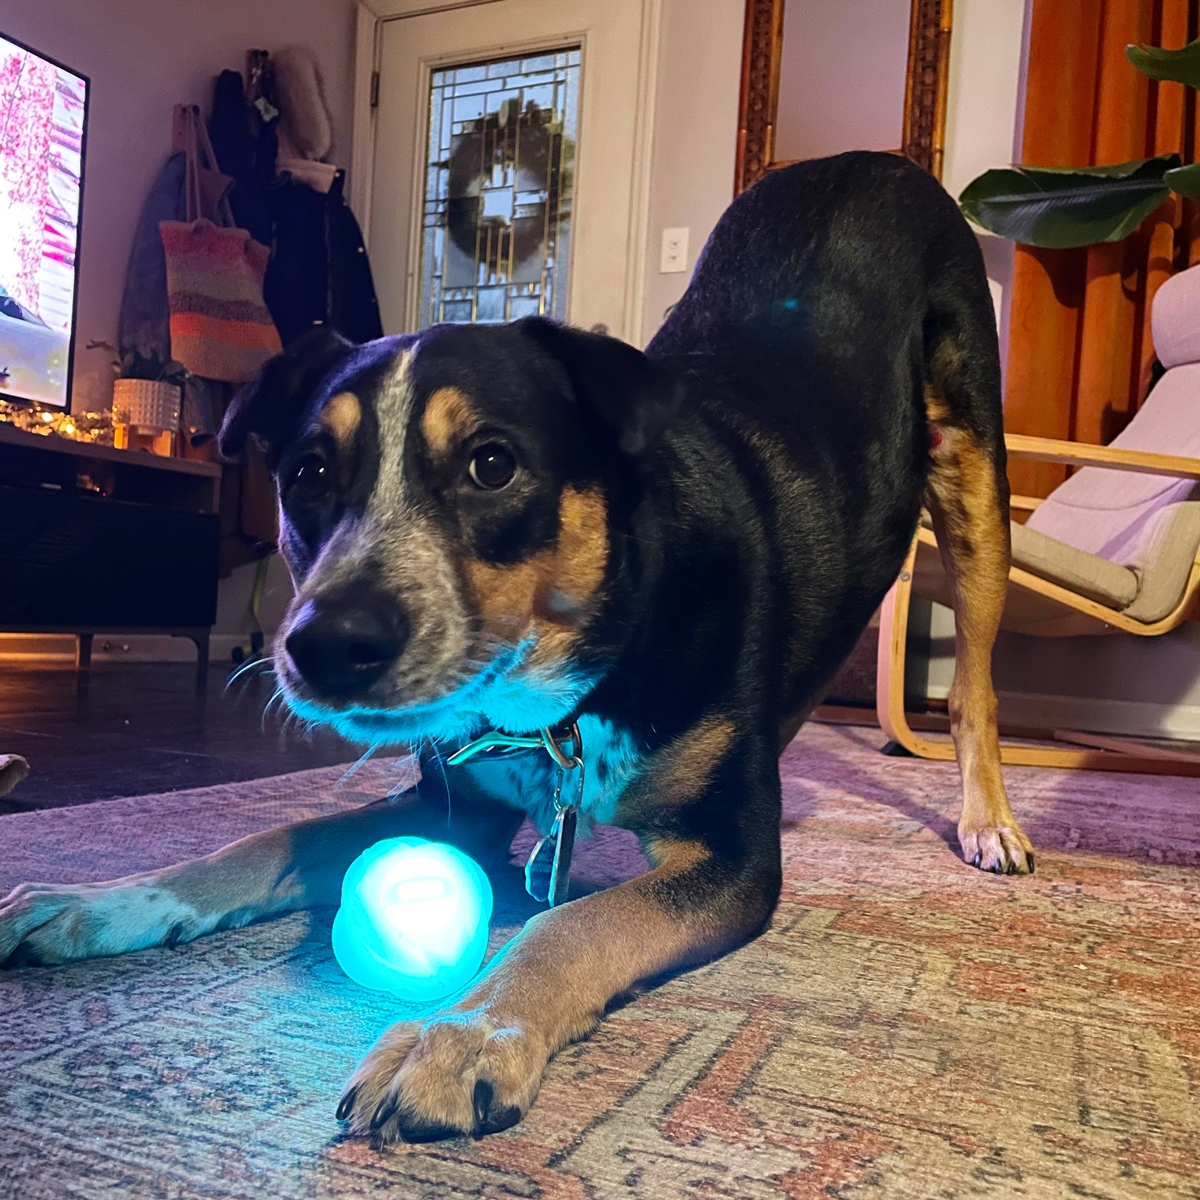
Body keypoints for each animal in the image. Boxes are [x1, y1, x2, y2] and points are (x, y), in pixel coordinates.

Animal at [0, 152, 1032, 1142]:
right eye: (307, 474)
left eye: (492, 464)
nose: (324, 646)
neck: (566, 691)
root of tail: (869, 161)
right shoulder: (451, 804)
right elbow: (262, 838)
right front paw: (98, 901)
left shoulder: (733, 860)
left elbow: (568, 922)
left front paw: (456, 1038)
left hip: (975, 472)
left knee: (975, 686)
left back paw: (991, 824)